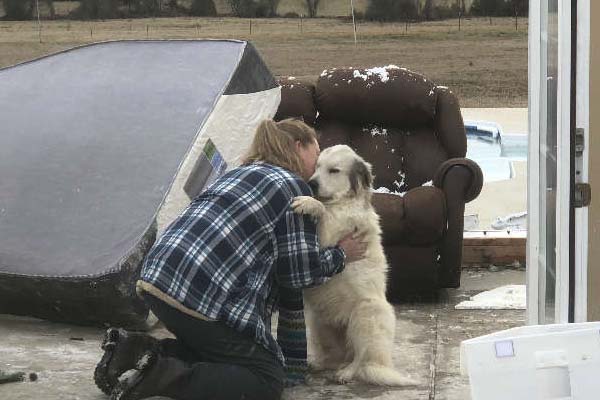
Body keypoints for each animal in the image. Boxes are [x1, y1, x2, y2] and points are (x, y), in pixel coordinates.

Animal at [292, 145, 414, 386]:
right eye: (317, 166)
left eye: (334, 170)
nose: (311, 183)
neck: (340, 201)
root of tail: (381, 364)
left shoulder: (330, 235)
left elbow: (323, 213)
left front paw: (309, 202)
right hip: (318, 321)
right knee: (335, 355)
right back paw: (320, 364)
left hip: (365, 314)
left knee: (360, 357)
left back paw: (347, 373)